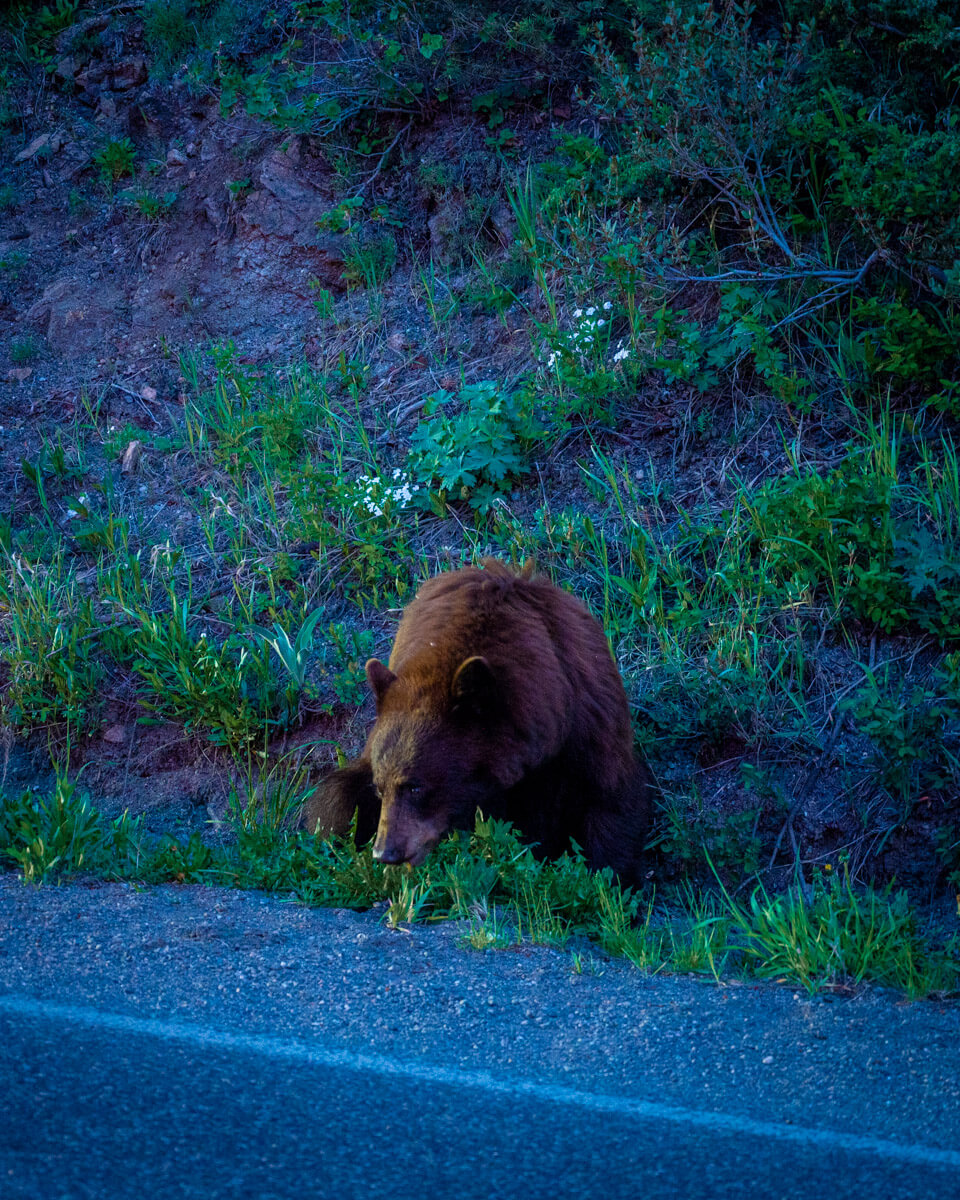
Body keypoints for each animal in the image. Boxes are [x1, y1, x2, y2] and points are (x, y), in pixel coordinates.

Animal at [301, 558, 650, 881]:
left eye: (415, 786)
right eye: (379, 788)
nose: (386, 852)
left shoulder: (586, 728)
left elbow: (607, 802)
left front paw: (608, 879)